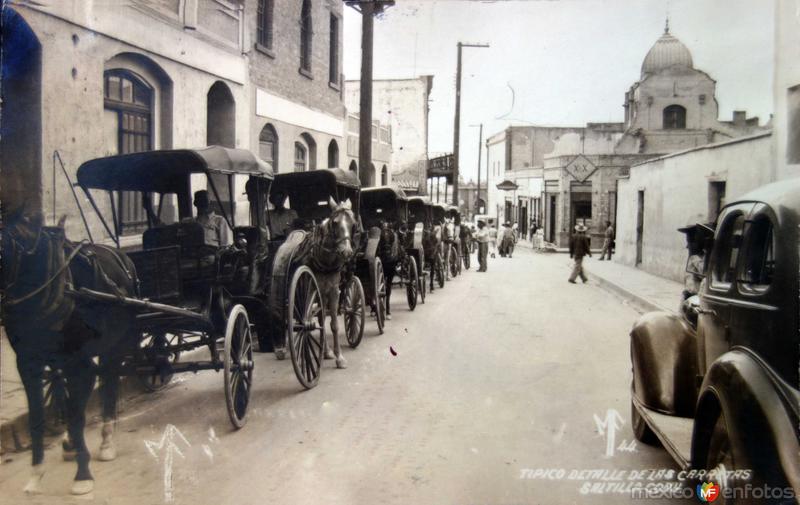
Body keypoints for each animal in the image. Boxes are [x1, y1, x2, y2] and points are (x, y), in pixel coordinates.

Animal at [2, 212, 138, 492]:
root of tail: (122, 256)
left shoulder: (79, 364)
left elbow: (77, 417)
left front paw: (82, 476)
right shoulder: (27, 363)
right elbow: (38, 417)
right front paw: (36, 473)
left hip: (114, 346)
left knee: (109, 385)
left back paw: (106, 441)